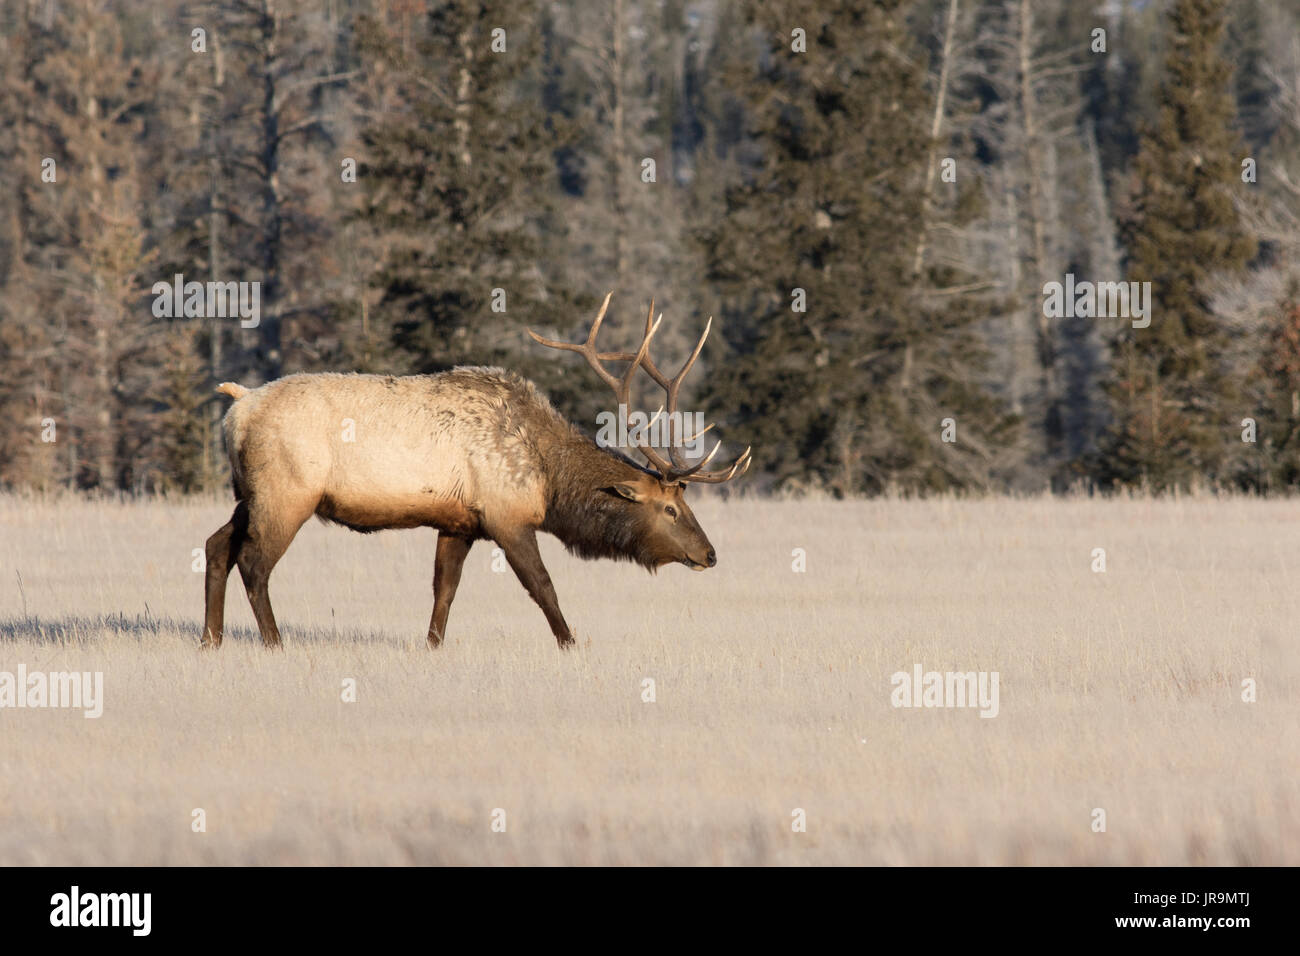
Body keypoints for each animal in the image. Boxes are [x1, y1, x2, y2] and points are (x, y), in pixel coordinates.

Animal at [201, 293, 754, 650]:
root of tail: (238, 406)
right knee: (254, 562)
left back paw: (211, 639)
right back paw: (274, 642)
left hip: (249, 493)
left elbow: (444, 589)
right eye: (670, 508)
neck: (549, 479)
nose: (710, 554)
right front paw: (572, 644)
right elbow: (544, 586)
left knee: (216, 545)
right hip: (287, 492)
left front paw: (433, 646)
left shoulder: (459, 521)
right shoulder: (507, 516)